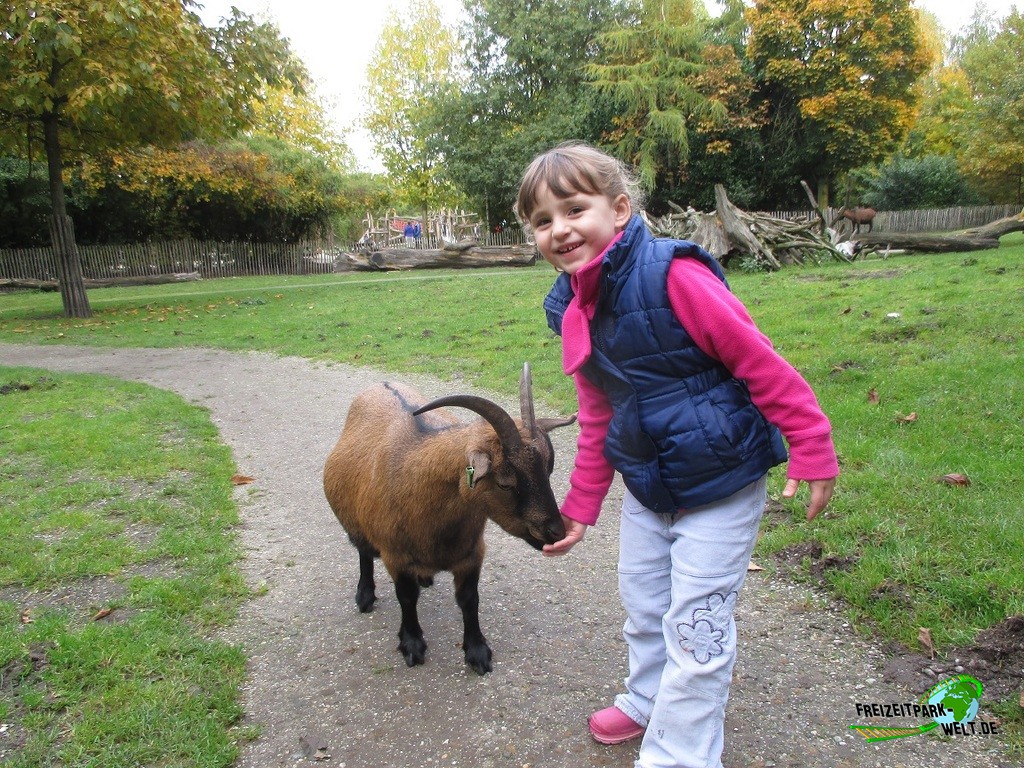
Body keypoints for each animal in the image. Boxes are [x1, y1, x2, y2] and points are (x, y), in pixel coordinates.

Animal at [321, 364, 577, 671]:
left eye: (549, 470)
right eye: (505, 483)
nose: (556, 532)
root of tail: (381, 383)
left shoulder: (472, 552)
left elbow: (469, 599)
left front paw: (477, 651)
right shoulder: (396, 555)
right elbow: (406, 597)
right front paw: (412, 644)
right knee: (363, 551)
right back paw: (365, 595)